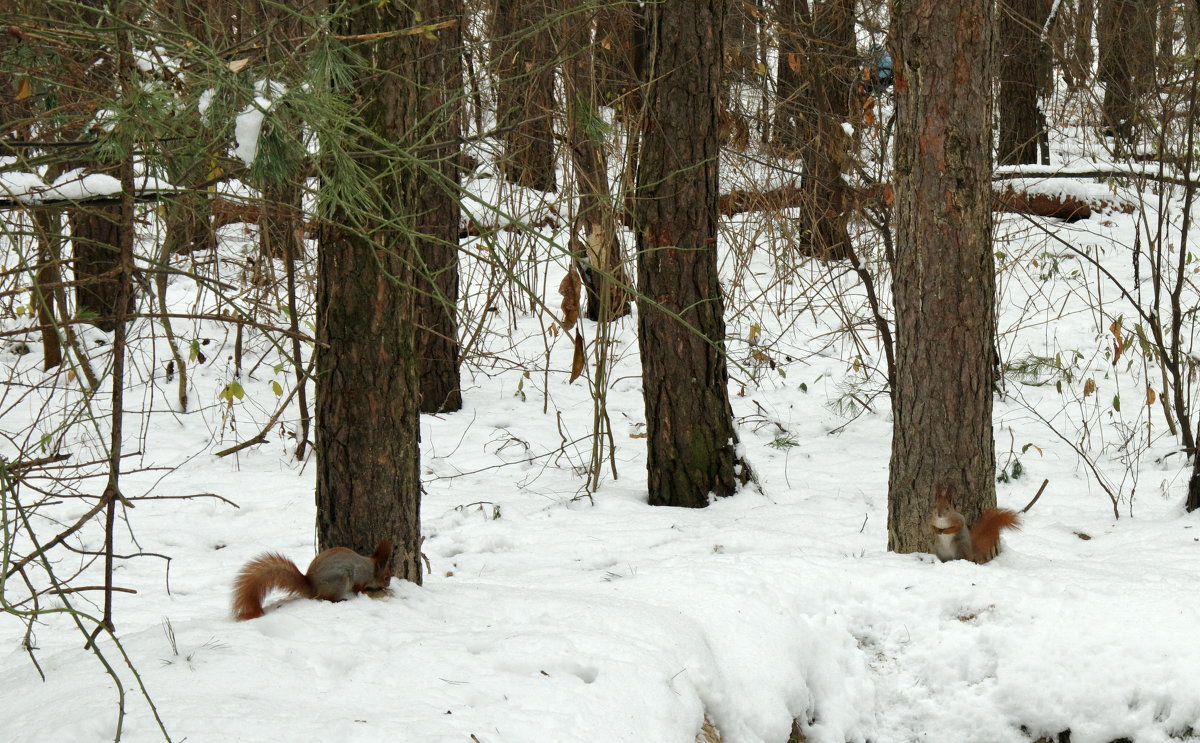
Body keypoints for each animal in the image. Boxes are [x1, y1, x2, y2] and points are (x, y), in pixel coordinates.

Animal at [236, 540, 396, 624]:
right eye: (386, 577)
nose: (388, 584)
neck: (370, 569)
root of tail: (312, 587)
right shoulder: (359, 578)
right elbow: (358, 588)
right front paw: (370, 590)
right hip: (339, 580)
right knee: (325, 598)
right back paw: (340, 600)